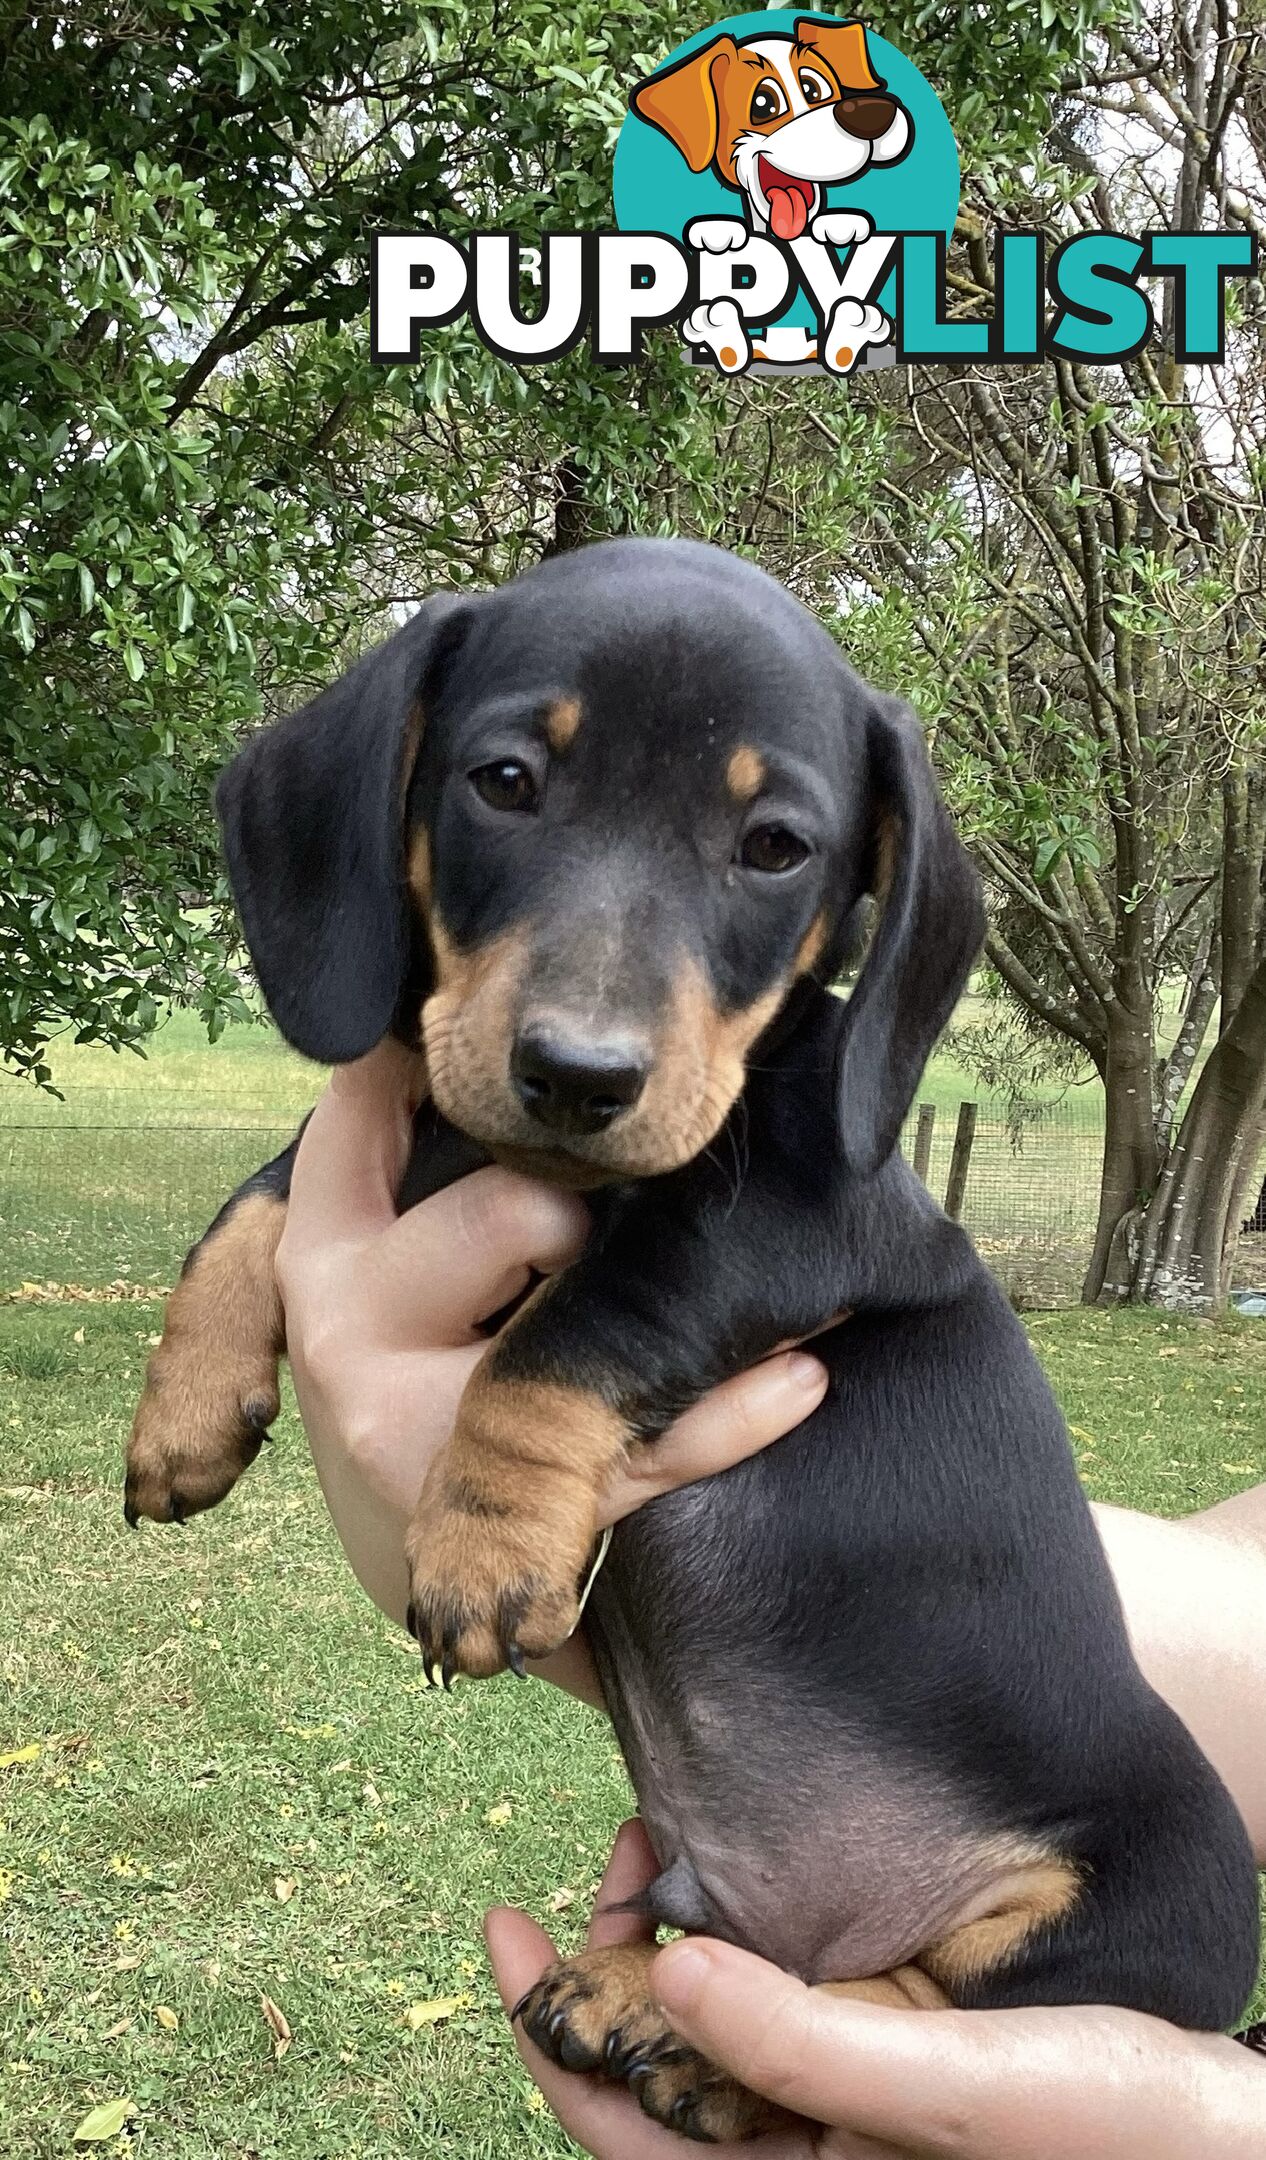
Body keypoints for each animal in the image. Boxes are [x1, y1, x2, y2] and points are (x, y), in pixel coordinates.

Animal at [125, 540, 1253, 2142]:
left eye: (776, 846)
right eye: (505, 780)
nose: (578, 1078)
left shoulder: (776, 1220)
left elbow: (571, 1326)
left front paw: (484, 1541)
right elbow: (262, 1198)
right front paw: (185, 1408)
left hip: (1159, 1901)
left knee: (893, 2000)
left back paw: (677, 2023)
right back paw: (653, 2006)